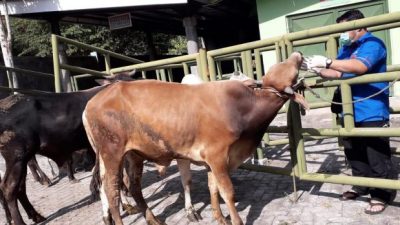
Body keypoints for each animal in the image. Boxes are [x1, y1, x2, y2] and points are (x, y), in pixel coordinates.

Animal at [82, 51, 306, 225]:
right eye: (289, 69)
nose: (298, 54)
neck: (241, 108)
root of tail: (93, 101)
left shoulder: (211, 160)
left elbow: (213, 188)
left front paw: (220, 218)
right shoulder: (217, 157)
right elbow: (227, 192)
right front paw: (235, 220)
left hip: (134, 155)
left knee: (134, 187)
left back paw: (153, 219)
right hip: (112, 154)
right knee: (111, 191)